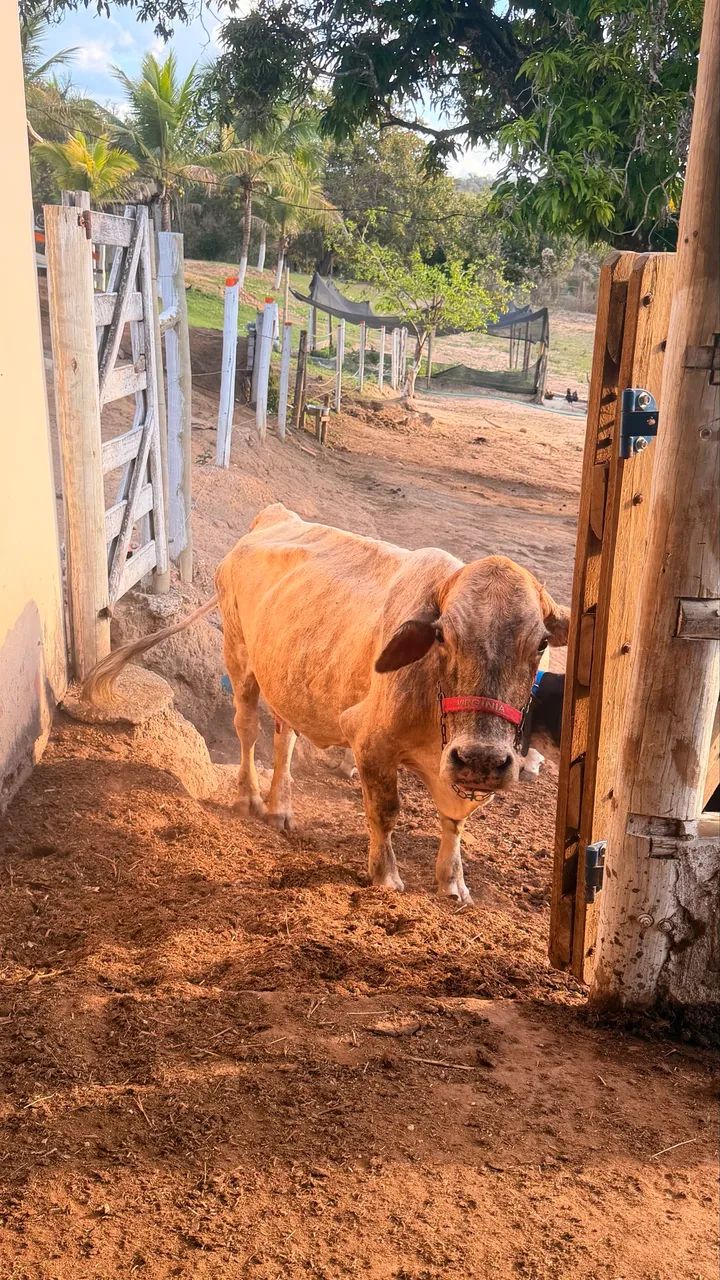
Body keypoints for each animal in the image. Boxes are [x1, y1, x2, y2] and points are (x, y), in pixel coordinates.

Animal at [85, 504, 570, 904]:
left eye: (542, 642)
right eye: (442, 635)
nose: (481, 758)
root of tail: (275, 516)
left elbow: (454, 822)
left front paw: (453, 884)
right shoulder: (369, 743)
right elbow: (385, 812)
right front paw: (385, 877)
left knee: (284, 740)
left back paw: (280, 808)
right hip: (239, 658)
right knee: (247, 731)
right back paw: (249, 799)